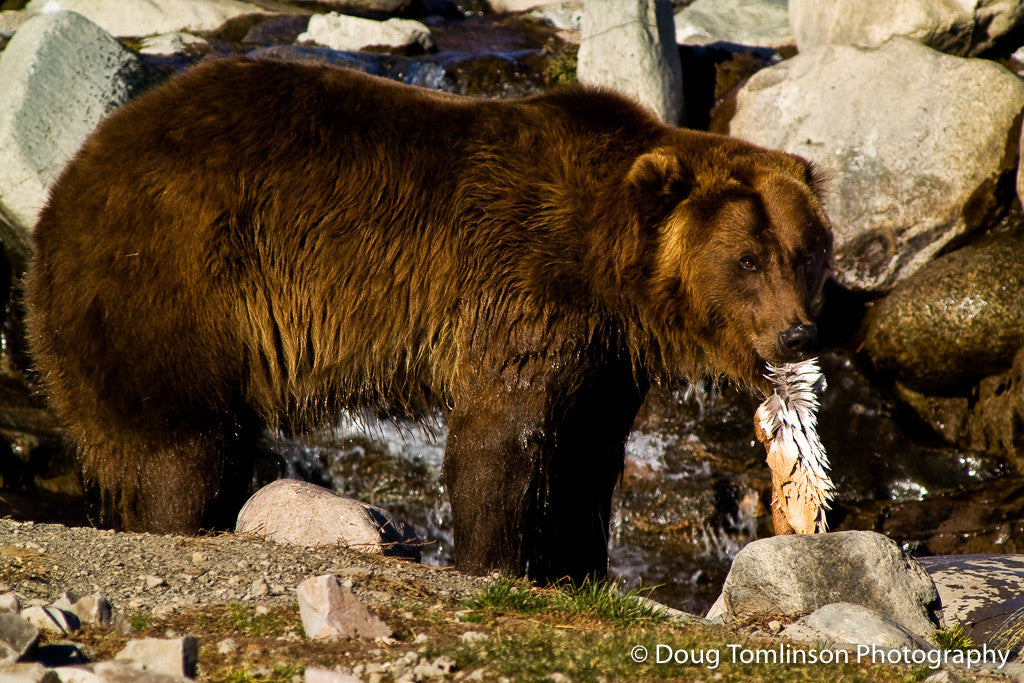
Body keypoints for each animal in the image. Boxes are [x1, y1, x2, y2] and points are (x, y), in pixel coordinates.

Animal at [25, 57, 832, 583]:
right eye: (747, 260)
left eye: (805, 251)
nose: (798, 332)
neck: (609, 267)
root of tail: (68, 184)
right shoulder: (524, 289)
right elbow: (502, 436)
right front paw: (493, 559)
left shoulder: (604, 352)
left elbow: (587, 453)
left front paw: (580, 564)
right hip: (173, 281)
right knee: (182, 443)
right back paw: (180, 518)